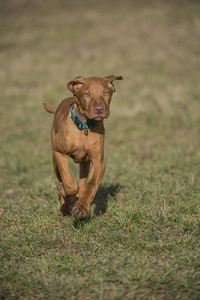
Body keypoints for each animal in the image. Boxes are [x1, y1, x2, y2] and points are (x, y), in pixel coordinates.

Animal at [44, 75, 122, 218]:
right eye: (87, 94)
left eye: (105, 93)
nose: (99, 109)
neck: (85, 127)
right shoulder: (59, 153)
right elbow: (69, 183)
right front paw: (64, 190)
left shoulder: (98, 162)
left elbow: (90, 185)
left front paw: (81, 208)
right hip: (55, 162)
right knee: (63, 179)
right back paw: (64, 209)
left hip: (84, 164)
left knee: (82, 183)